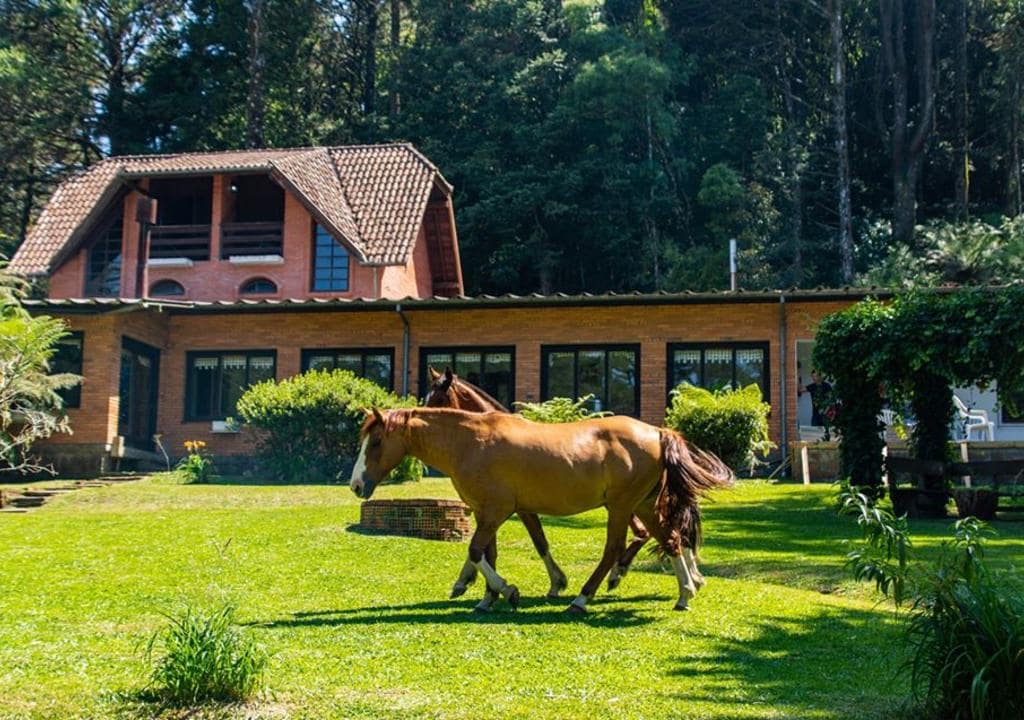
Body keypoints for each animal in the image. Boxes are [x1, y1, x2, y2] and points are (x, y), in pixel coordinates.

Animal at [352, 407, 737, 610]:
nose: (356, 485)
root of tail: (657, 432)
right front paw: (485, 596)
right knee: (672, 540)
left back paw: (583, 597)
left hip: (621, 507)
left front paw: (507, 590)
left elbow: (476, 551)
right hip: (641, 505)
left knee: (616, 548)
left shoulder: (496, 511)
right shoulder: (489, 513)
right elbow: (489, 554)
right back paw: (684, 593)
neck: (472, 443)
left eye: (376, 441)